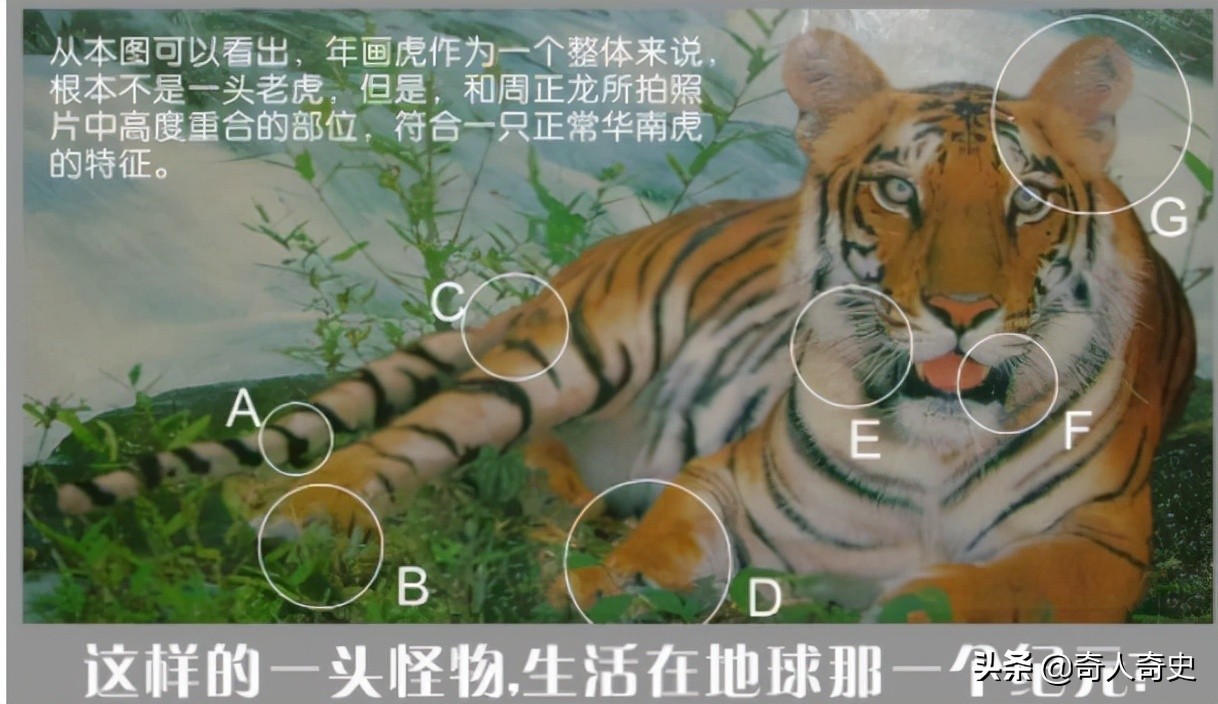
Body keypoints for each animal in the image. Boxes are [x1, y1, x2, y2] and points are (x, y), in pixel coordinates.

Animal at [56, 28, 1196, 623]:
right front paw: (599, 588)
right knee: (397, 443)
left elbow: (975, 593)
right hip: (571, 353)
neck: (931, 436)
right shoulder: (729, 479)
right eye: (897, 193)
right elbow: (660, 544)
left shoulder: (1103, 542)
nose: (959, 314)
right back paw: (294, 511)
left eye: (1027, 200)